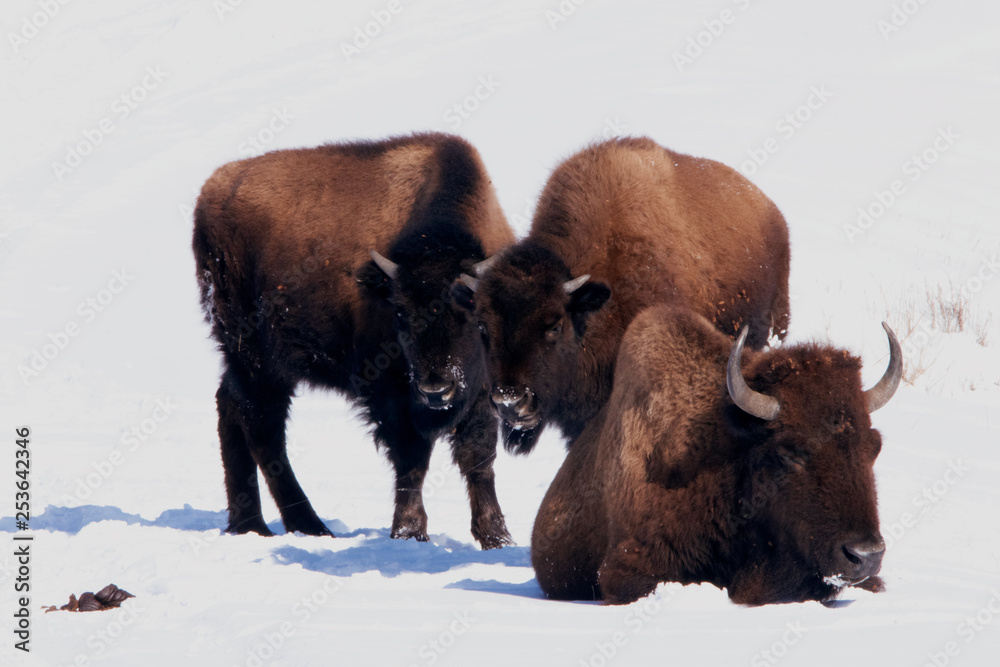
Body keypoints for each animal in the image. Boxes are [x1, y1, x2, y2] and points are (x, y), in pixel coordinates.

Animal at [190, 133, 516, 552]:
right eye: (399, 312)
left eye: (472, 312)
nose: (436, 389)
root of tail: (211, 192)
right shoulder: (391, 392)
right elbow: (412, 459)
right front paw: (410, 533)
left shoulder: (479, 393)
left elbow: (478, 458)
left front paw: (497, 537)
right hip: (258, 359)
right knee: (264, 430)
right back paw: (309, 526)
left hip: (248, 361)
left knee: (231, 407)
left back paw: (250, 525)